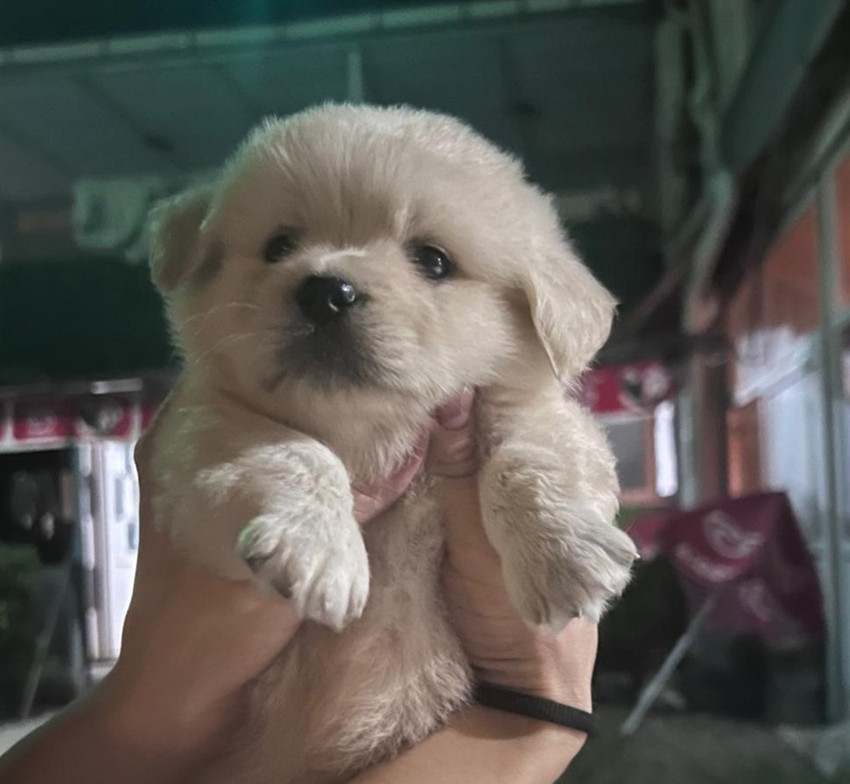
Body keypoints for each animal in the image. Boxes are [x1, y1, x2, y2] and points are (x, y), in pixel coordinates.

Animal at [147, 104, 636, 784]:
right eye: (278, 247)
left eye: (433, 260)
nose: (326, 292)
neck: (371, 431)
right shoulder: (203, 431)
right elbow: (294, 452)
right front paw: (319, 548)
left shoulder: (537, 413)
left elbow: (526, 458)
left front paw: (562, 553)